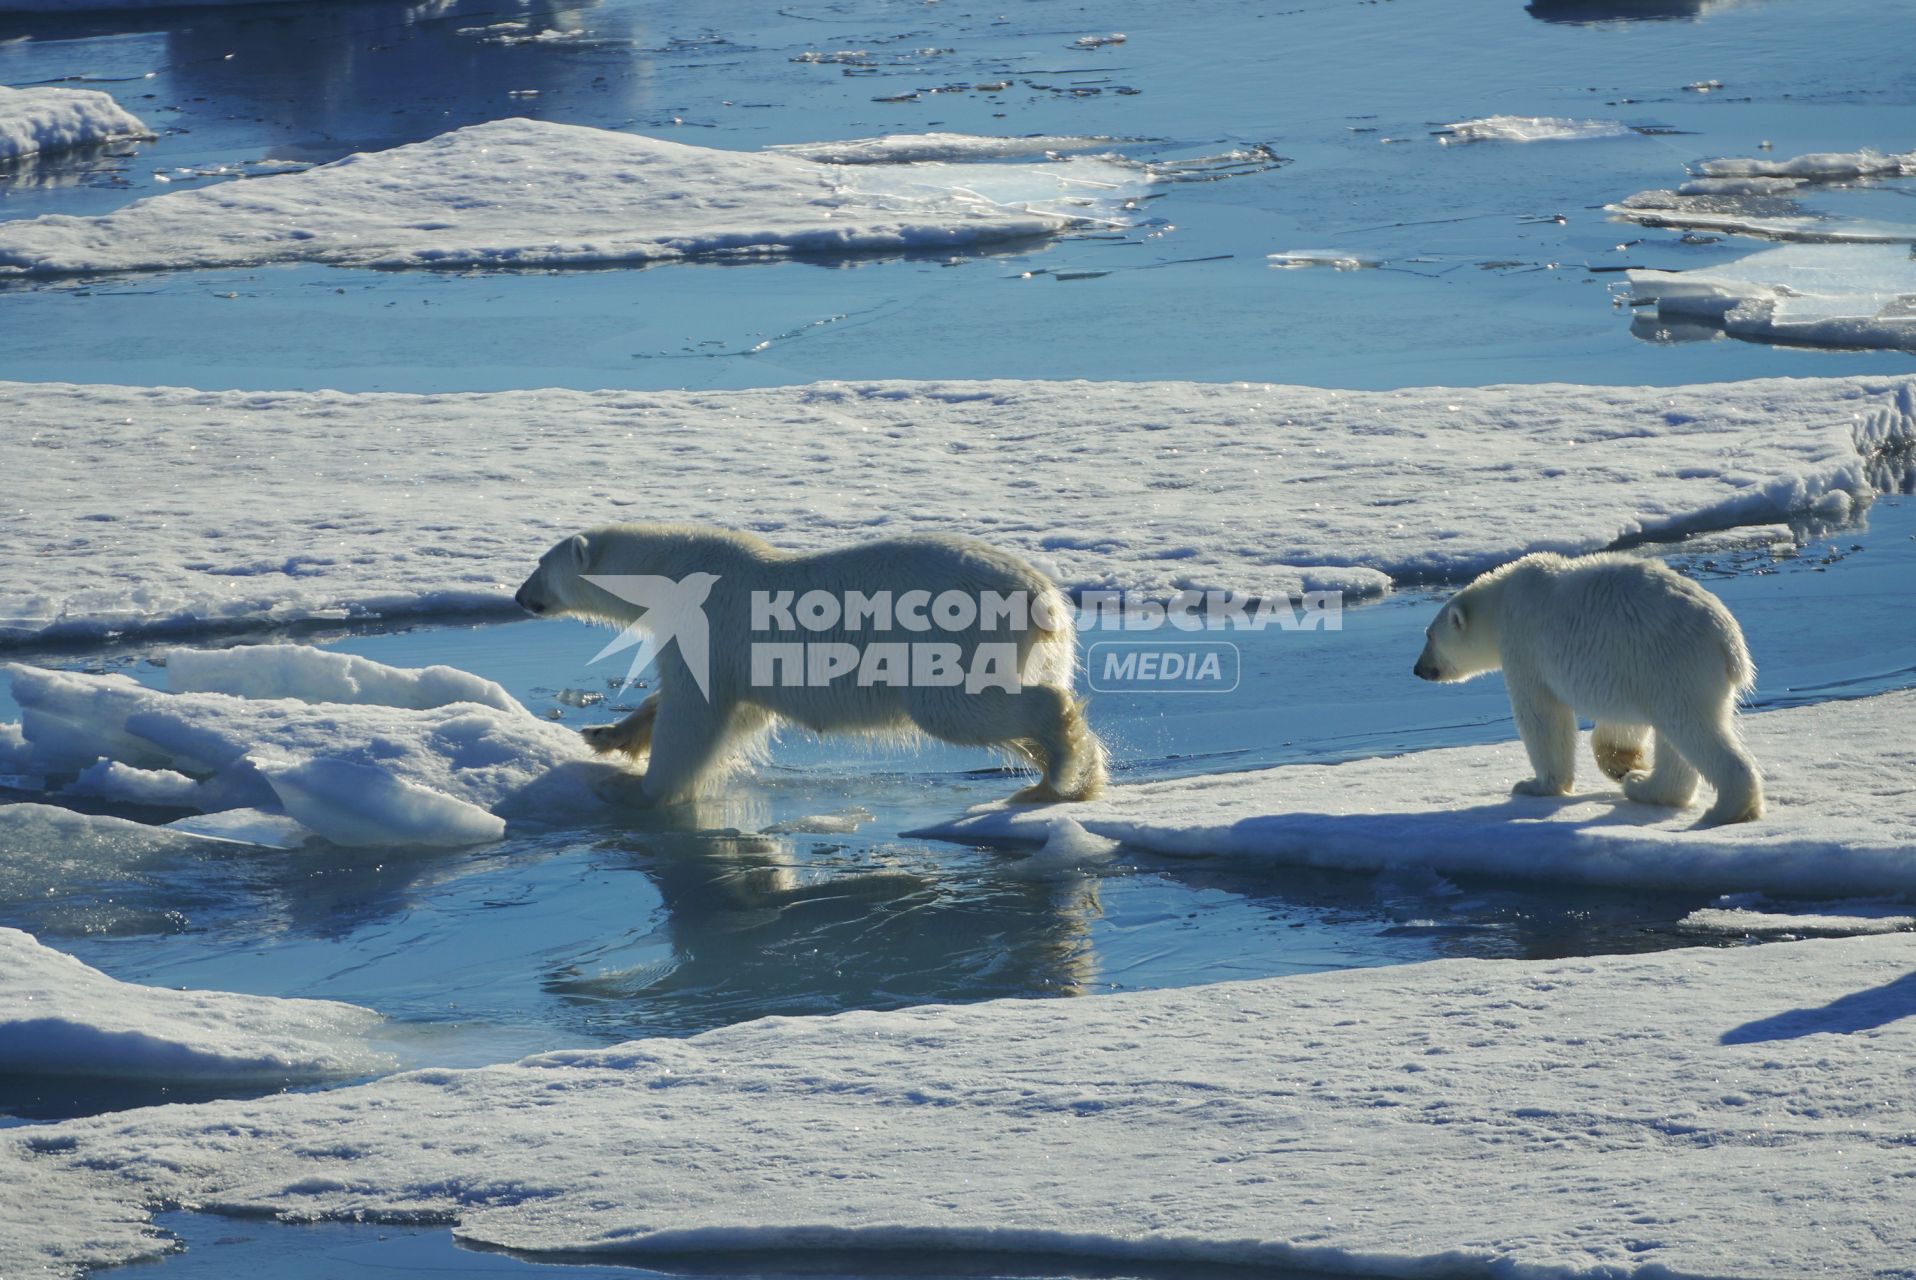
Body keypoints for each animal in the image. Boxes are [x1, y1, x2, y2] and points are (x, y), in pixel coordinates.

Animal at [513, 521, 1111, 804]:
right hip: (1043, 648)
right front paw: (604, 734)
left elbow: (694, 713)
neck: (669, 569)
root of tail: (1040, 595)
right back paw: (1067, 777)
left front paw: (637, 791)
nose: (519, 597)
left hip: (953, 636)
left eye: (539, 564)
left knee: (963, 706)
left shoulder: (709, 622)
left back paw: (1058, 770)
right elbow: (727, 708)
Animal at [1417, 555, 1755, 823]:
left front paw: (1536, 785)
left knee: (1691, 728)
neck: (1501, 599)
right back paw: (1644, 785)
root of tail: (1727, 640)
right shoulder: (1628, 669)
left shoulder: (1524, 643)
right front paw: (1621, 762)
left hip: (1674, 663)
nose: (1418, 669)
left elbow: (1542, 715)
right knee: (1674, 737)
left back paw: (1729, 808)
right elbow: (1622, 723)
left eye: (1429, 636)